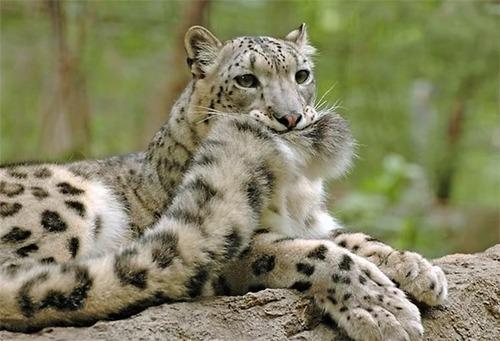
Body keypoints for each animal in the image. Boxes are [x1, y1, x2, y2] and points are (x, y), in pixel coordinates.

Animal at [0, 25, 446, 338]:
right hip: (65, 204)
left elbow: (354, 238)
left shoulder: (314, 221)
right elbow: (315, 252)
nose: (290, 117)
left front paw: (417, 268)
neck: (296, 189)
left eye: (301, 75)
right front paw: (383, 309)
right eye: (247, 80)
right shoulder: (247, 248)